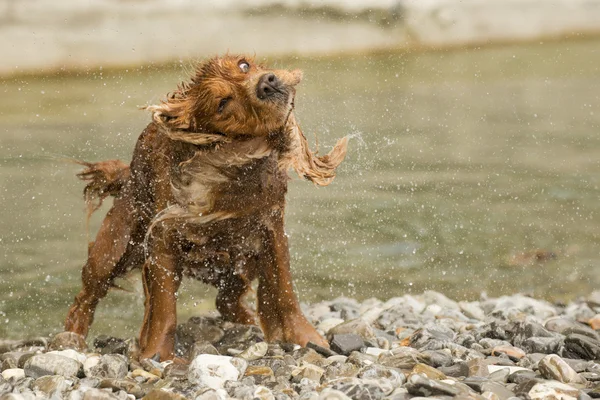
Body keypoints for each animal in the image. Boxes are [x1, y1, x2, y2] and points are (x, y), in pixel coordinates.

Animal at [62, 54, 346, 360]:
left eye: (244, 65)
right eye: (223, 103)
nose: (267, 83)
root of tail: (129, 175)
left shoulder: (271, 229)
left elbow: (284, 291)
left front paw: (306, 338)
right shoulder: (163, 238)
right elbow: (163, 307)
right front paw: (157, 354)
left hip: (239, 264)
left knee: (226, 301)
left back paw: (248, 322)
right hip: (114, 248)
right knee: (85, 297)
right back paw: (71, 339)